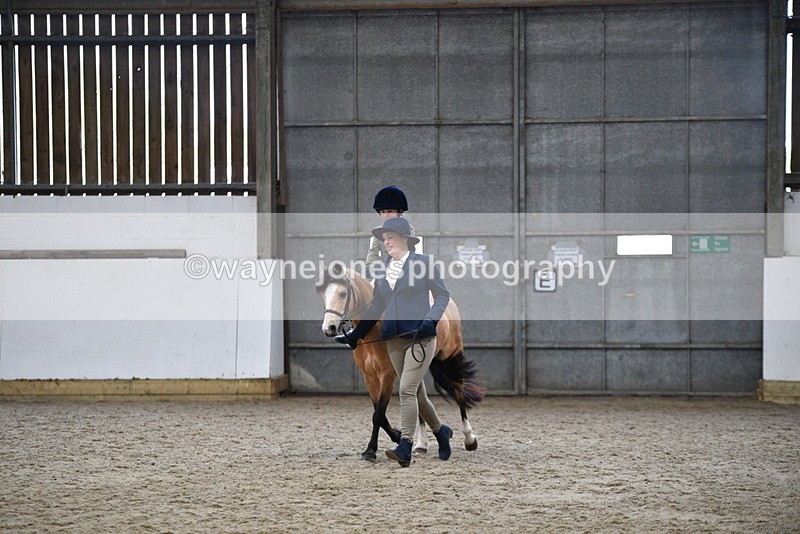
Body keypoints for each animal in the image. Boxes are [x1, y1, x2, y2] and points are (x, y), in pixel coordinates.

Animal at [316, 263, 484, 462]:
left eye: (343, 294)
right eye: (323, 294)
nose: (329, 328)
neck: (373, 329)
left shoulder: (387, 375)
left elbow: (378, 414)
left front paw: (370, 451)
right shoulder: (369, 377)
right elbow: (380, 414)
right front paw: (397, 436)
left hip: (451, 356)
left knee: (459, 392)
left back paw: (469, 439)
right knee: (419, 398)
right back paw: (422, 444)